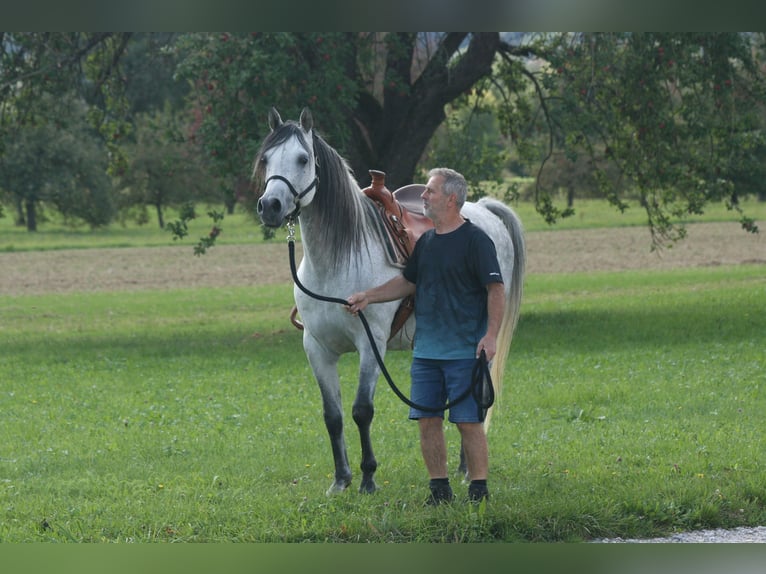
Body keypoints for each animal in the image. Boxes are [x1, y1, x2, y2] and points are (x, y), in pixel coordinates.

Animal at [255, 107, 525, 495]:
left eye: (303, 159)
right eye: (266, 159)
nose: (270, 206)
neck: (336, 262)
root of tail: (485, 209)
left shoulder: (372, 345)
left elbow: (361, 410)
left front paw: (368, 479)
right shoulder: (317, 348)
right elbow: (333, 415)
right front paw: (340, 480)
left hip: (481, 347)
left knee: (473, 400)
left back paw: (465, 469)